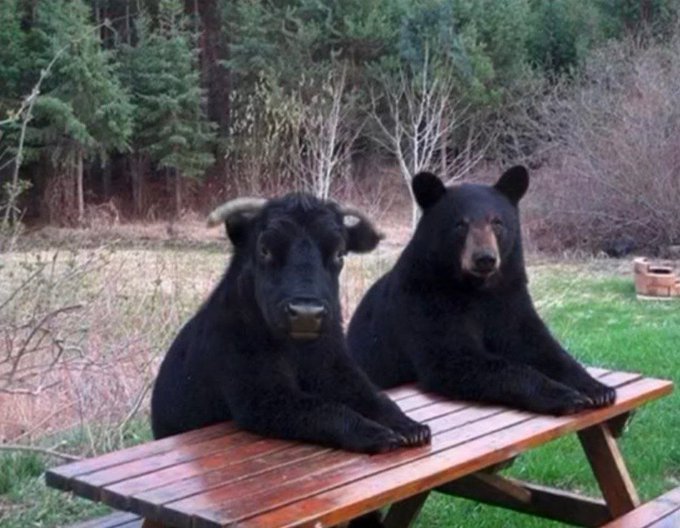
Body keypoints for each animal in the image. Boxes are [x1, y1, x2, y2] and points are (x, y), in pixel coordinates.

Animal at [347, 166, 616, 415]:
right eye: (460, 225)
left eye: (497, 222)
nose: (484, 258)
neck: (477, 289)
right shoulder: (424, 303)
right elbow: (456, 359)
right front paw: (565, 395)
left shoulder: (510, 298)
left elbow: (539, 344)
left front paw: (597, 388)